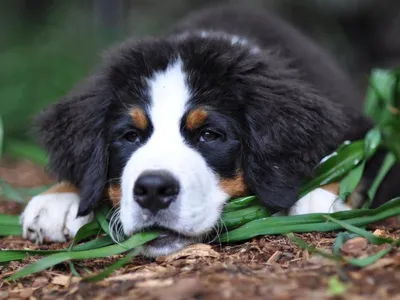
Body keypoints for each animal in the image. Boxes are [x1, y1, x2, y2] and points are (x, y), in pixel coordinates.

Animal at [19, 5, 400, 256]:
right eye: (130, 137)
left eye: (209, 136)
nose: (153, 190)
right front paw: (58, 198)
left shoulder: (366, 128)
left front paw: (316, 193)